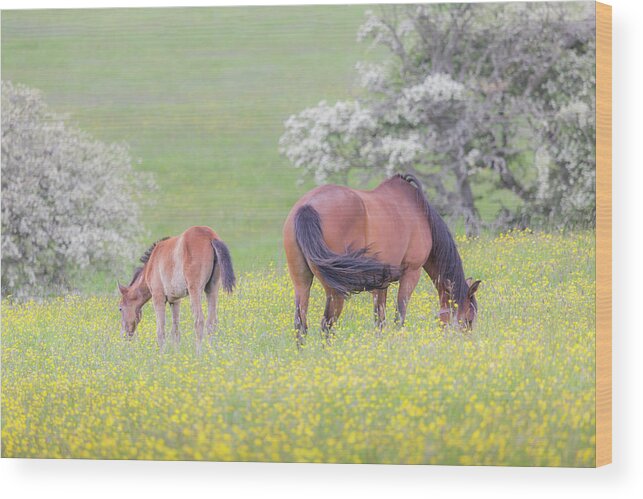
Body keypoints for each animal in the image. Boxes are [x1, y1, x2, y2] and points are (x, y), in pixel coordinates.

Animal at [117, 225, 235, 354]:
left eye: (120, 308)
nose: (124, 335)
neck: (151, 264)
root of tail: (210, 236)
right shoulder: (175, 301)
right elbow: (176, 330)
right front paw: (176, 354)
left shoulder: (158, 297)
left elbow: (161, 330)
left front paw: (161, 354)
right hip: (212, 289)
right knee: (212, 322)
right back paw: (211, 351)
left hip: (195, 290)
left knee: (199, 321)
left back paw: (198, 353)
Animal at [284, 174, 480, 346]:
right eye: (469, 319)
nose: (468, 343)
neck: (419, 213)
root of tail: (307, 207)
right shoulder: (411, 273)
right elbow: (399, 316)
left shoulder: (381, 285)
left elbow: (380, 320)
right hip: (335, 290)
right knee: (327, 325)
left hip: (301, 283)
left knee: (300, 325)